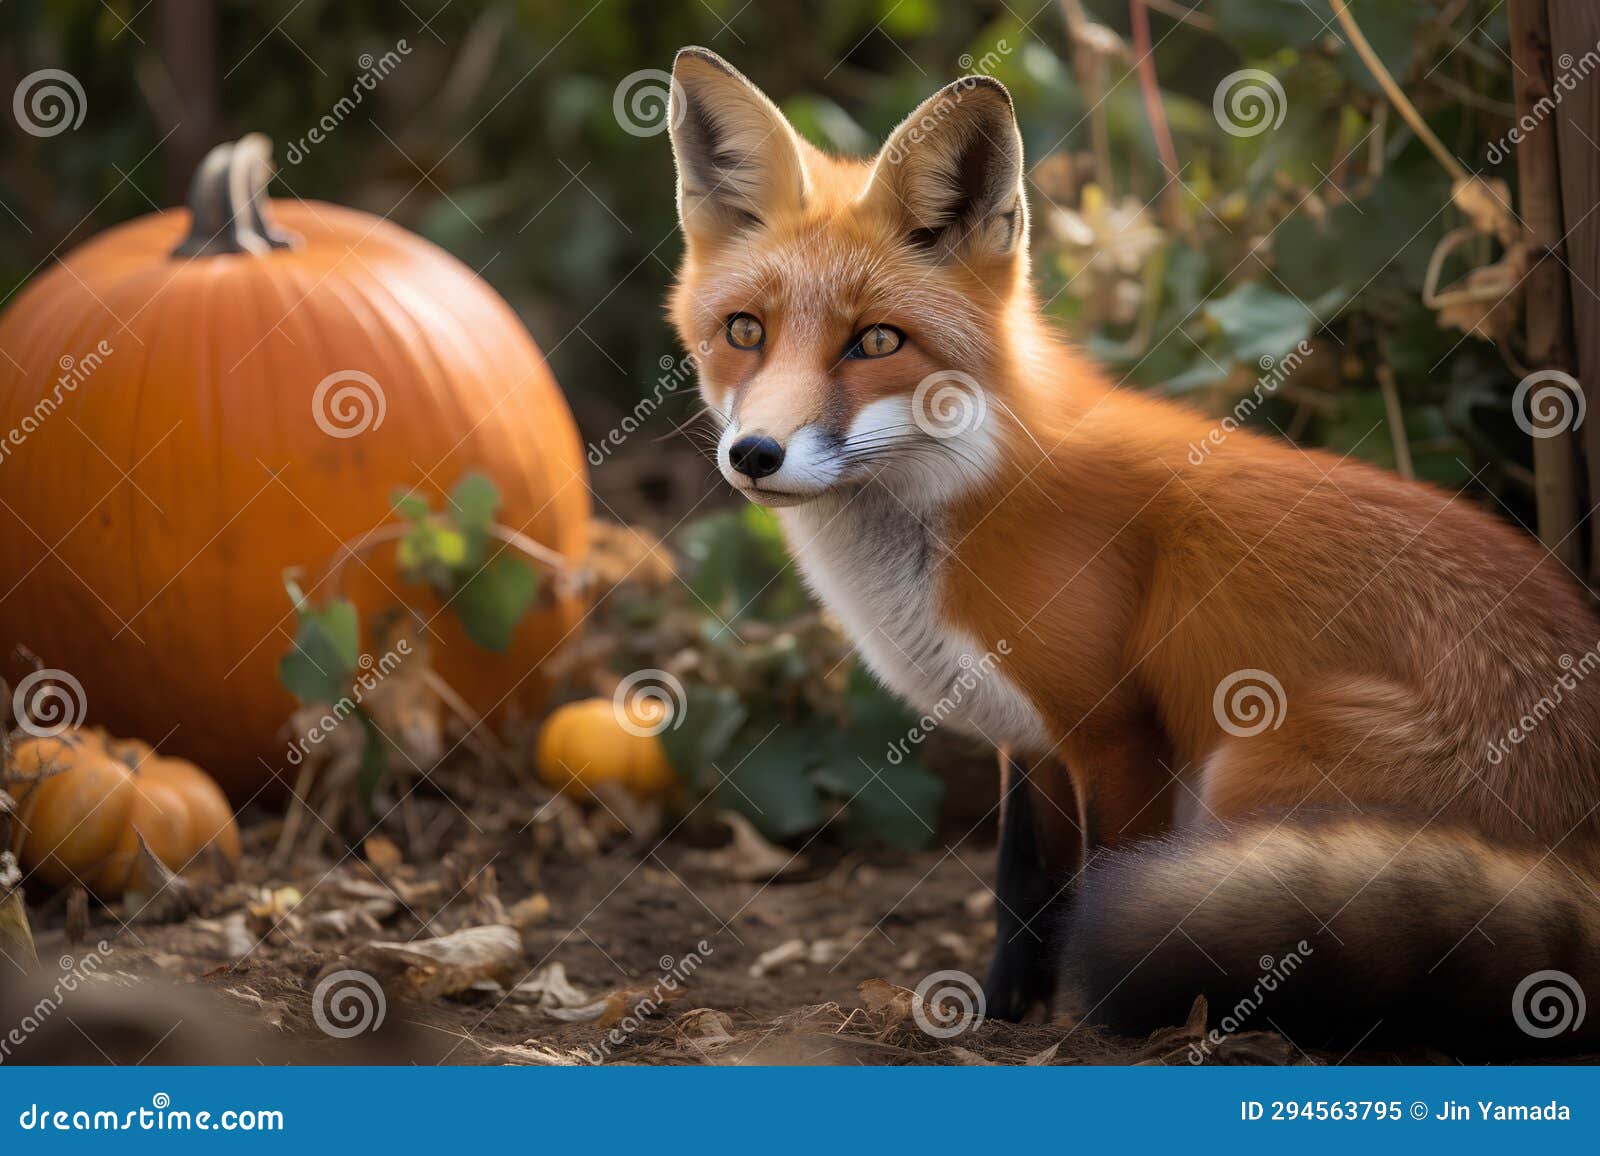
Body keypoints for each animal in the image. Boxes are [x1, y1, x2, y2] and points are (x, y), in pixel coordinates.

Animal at [665, 46, 1600, 1055]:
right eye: (745, 332)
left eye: (877, 340)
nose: (755, 454)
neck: (970, 492)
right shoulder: (1029, 738)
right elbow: (1024, 892)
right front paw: (1000, 1016)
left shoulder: (1115, 732)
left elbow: (1103, 884)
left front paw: (1084, 1033)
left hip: (1252, 768)